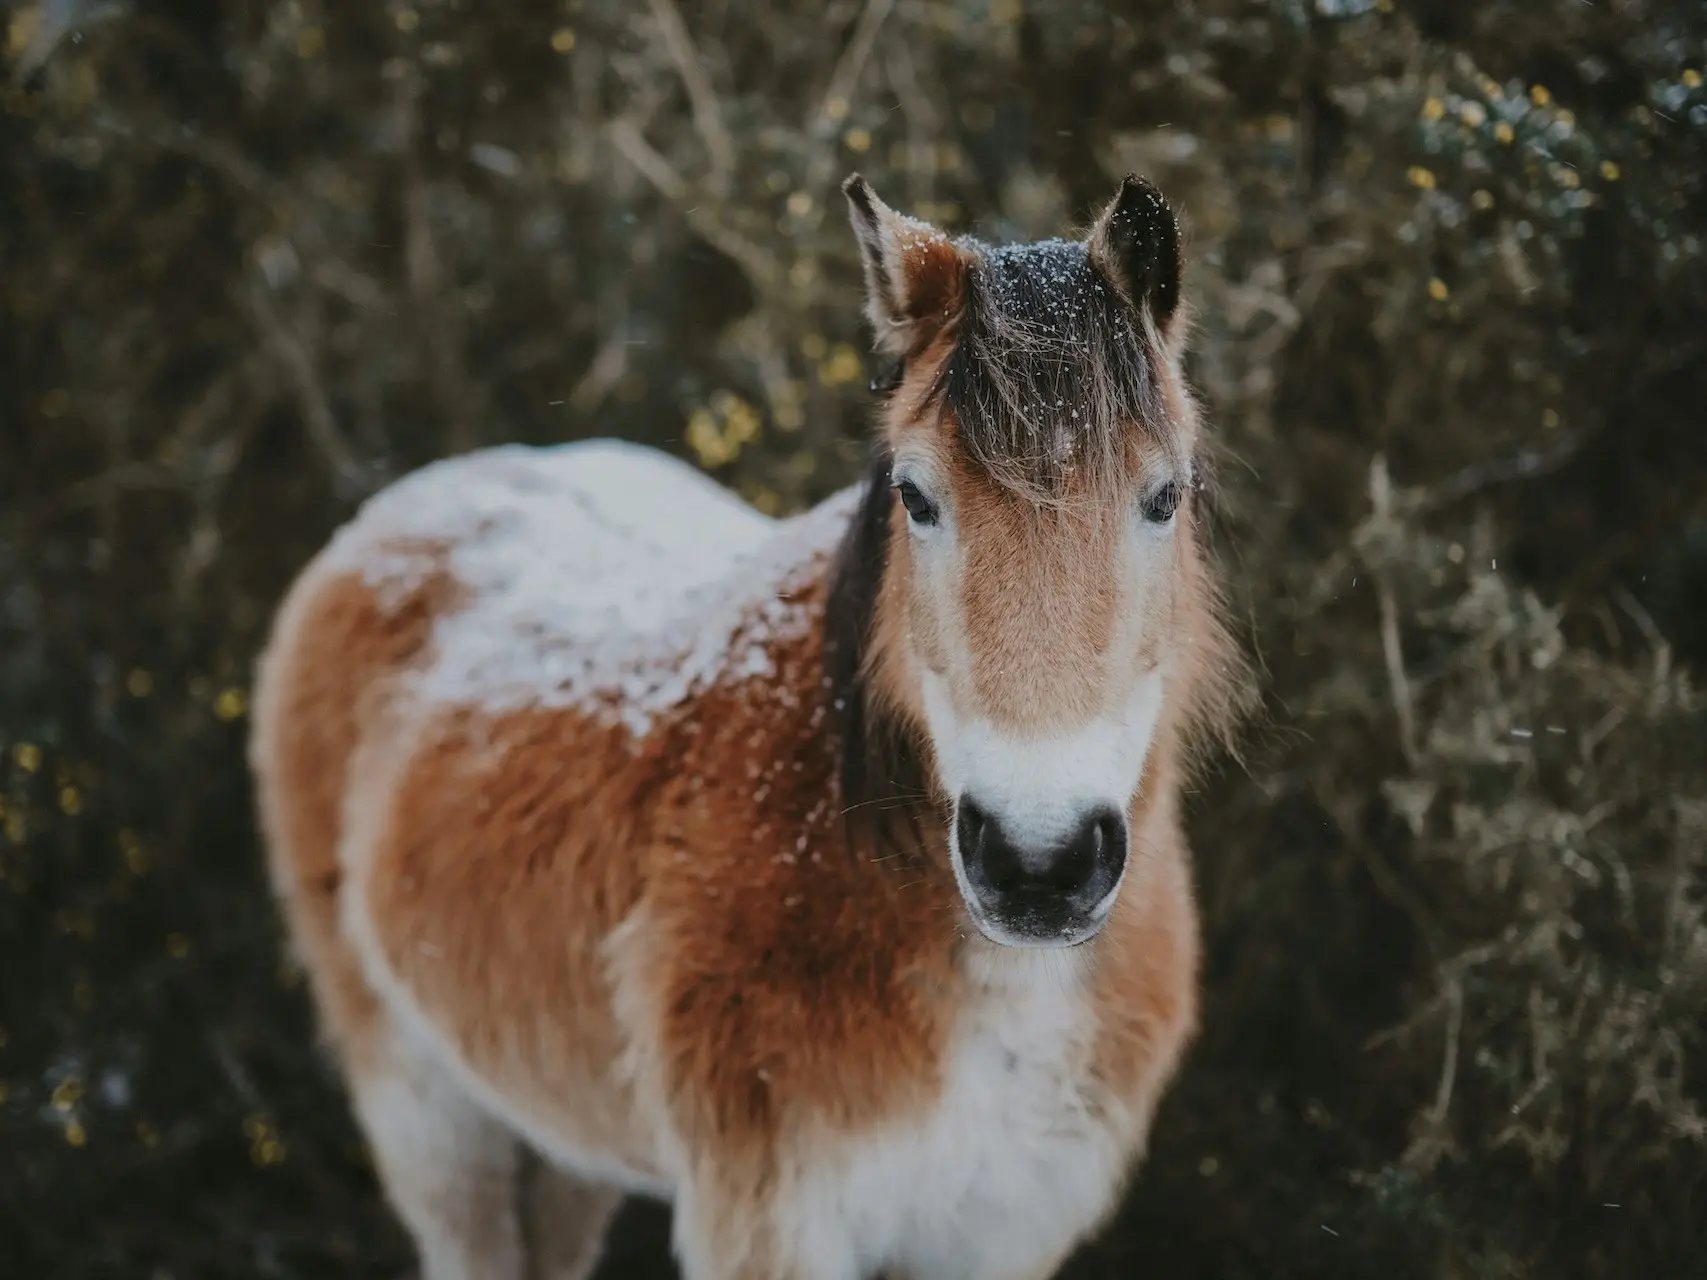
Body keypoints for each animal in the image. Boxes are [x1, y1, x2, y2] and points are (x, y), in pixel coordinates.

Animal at [249, 173, 1242, 1280]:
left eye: (1162, 496)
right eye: (915, 496)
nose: (1038, 863)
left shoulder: (1000, 1236)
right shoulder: (772, 1220)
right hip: (433, 1120)